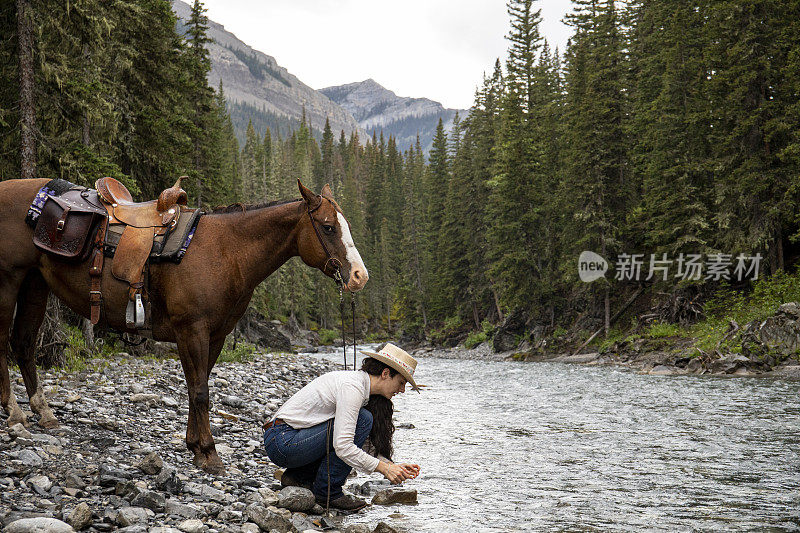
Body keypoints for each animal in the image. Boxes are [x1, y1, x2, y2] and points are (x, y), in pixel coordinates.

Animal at [0, 178, 368, 470]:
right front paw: (208, 452)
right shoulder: (191, 329)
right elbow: (201, 391)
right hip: (10, 280)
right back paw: (16, 414)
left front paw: (195, 446)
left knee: (24, 344)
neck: (225, 252)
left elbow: (197, 386)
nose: (359, 277)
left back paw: (45, 414)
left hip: (35, 283)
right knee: (5, 344)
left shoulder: (215, 335)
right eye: (328, 226)